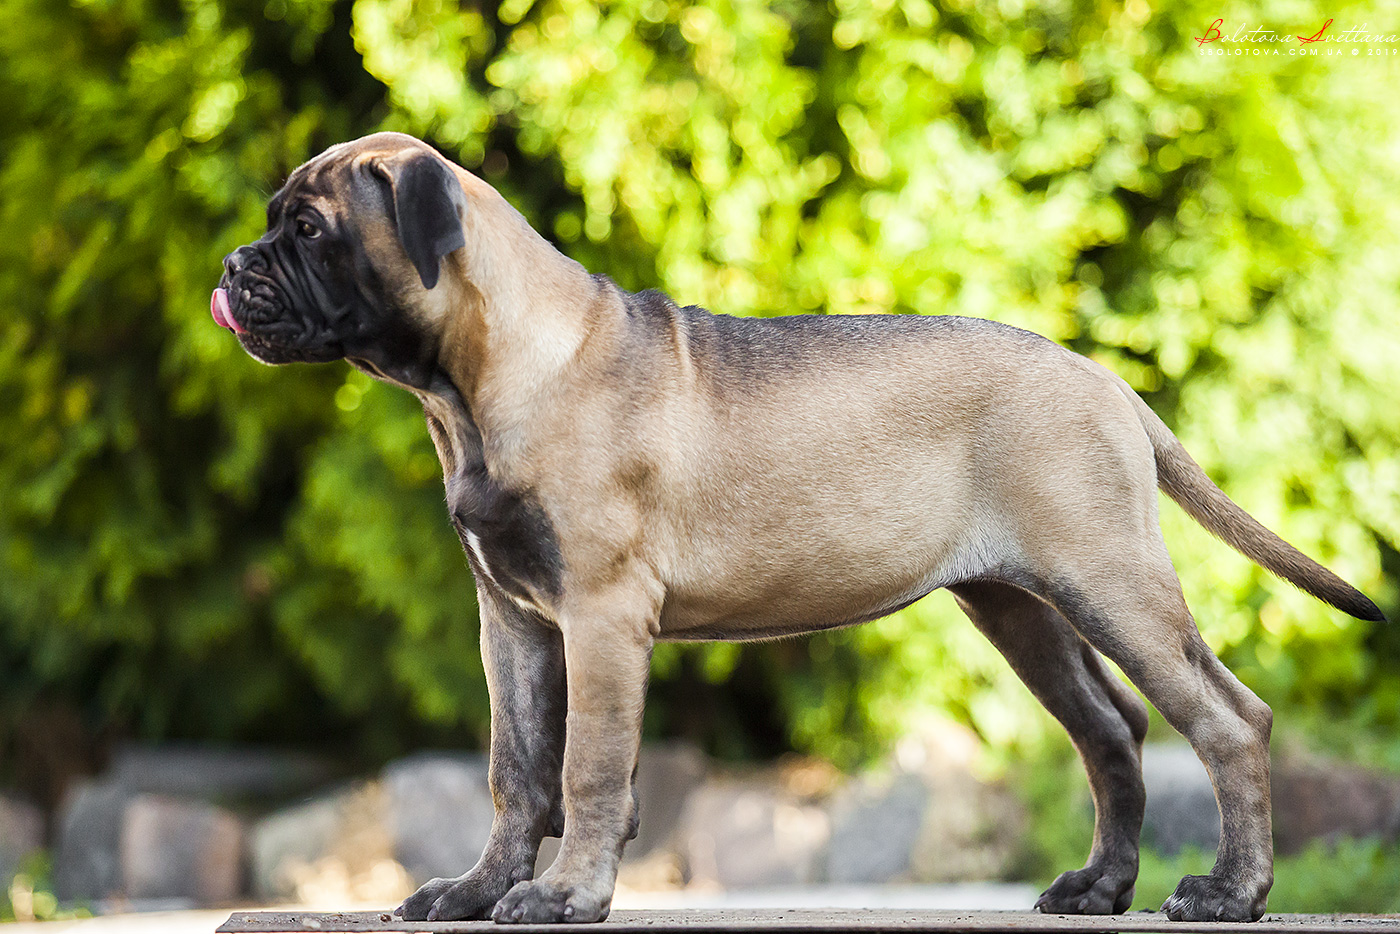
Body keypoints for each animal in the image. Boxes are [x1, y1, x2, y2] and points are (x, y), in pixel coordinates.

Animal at [212, 133, 1383, 929]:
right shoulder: (514, 622)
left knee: (1226, 718)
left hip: (1110, 581)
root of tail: (1101, 379)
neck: (480, 379)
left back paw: (1231, 891)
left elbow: (588, 766)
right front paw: (479, 887)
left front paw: (565, 894)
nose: (232, 268)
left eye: (308, 230)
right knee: (1111, 730)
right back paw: (1101, 886)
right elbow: (517, 767)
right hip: (1020, 605)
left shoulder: (600, 614)